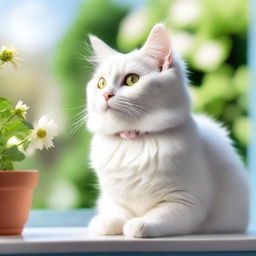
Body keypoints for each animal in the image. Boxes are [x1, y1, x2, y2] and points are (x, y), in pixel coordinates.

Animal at [85, 24, 249, 238]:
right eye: (101, 83)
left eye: (132, 80)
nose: (106, 94)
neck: (134, 141)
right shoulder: (112, 200)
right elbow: (115, 215)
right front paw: (105, 223)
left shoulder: (185, 203)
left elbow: (155, 216)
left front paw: (138, 225)